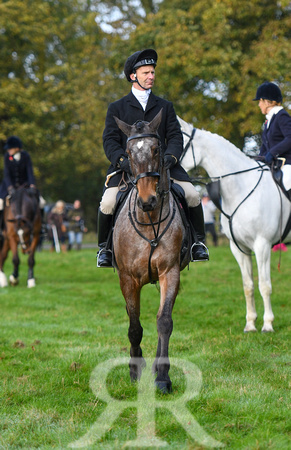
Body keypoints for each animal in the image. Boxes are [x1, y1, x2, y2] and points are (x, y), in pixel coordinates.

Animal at [112, 110, 192, 394]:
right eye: (128, 152)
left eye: (157, 149)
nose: (147, 200)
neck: (149, 220)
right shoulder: (127, 279)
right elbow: (135, 326)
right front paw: (135, 370)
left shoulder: (170, 272)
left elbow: (164, 322)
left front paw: (163, 377)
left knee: (161, 317)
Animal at [178, 116, 291, 334]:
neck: (242, 187)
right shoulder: (239, 248)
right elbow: (248, 286)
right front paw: (250, 324)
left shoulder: (262, 245)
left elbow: (265, 285)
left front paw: (268, 324)